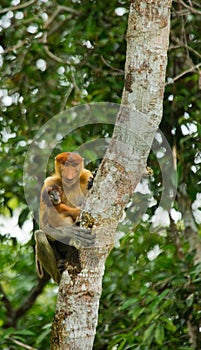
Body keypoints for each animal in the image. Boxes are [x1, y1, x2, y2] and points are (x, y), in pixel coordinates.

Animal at [34, 152, 94, 284]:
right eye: (65, 164)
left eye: (73, 165)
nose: (69, 174)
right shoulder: (48, 182)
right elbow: (43, 225)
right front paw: (72, 231)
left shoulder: (87, 175)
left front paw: (91, 183)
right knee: (40, 235)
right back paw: (59, 271)